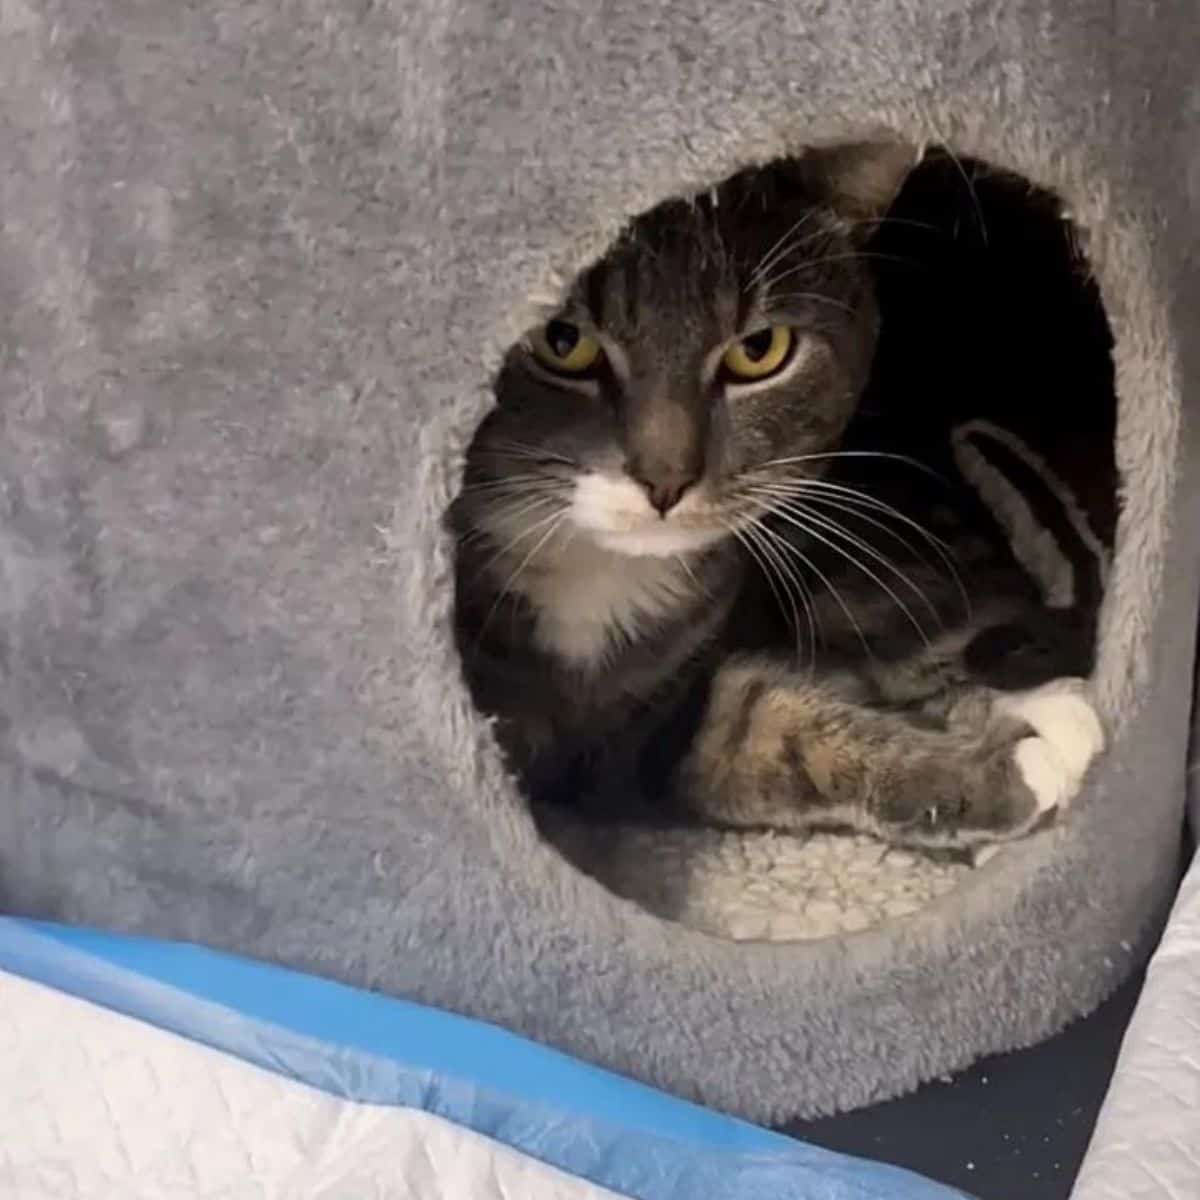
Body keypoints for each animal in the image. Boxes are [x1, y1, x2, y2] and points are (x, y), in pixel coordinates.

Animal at [451, 142, 1104, 854]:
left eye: (759, 350)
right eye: (563, 342)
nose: (665, 480)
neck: (594, 577)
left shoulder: (657, 723)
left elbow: (760, 720)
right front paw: (1008, 757)